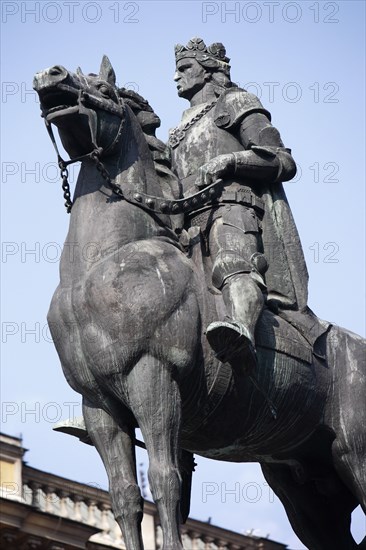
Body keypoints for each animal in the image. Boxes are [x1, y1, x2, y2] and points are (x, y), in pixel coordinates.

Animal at [33, 57, 364, 550]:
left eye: (102, 88)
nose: (50, 76)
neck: (104, 264)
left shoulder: (153, 376)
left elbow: (165, 480)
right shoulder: (99, 403)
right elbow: (125, 495)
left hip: (353, 455)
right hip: (305, 484)